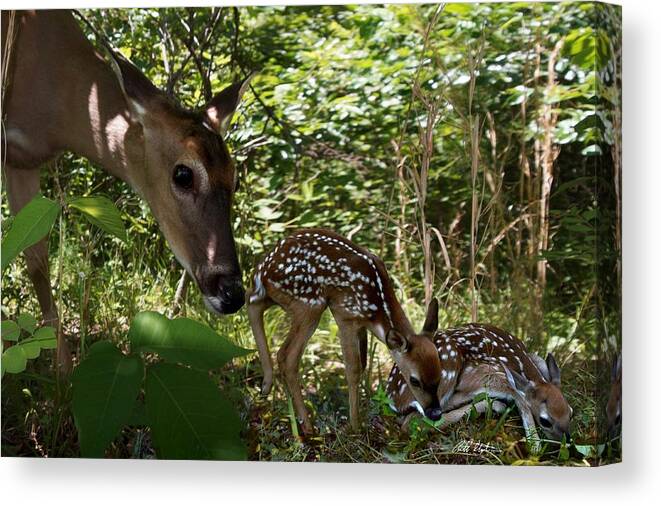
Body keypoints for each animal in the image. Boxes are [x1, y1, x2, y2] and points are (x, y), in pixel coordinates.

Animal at [1, 9, 253, 370]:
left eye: (234, 177)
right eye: (183, 174)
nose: (232, 293)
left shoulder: (23, 162)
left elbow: (35, 259)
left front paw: (63, 373)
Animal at [245, 229, 440, 434]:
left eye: (440, 375)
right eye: (414, 380)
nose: (435, 413)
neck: (376, 308)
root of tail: (263, 270)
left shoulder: (361, 326)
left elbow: (364, 363)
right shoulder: (346, 316)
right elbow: (353, 369)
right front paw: (355, 426)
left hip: (281, 297)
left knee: (251, 299)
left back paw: (268, 387)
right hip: (309, 303)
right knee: (286, 356)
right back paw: (307, 426)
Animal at [386, 322, 572, 444]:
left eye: (570, 412)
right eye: (545, 421)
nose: (567, 442)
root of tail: (391, 395)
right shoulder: (481, 375)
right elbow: (520, 398)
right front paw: (534, 445)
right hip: (447, 367)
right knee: (411, 422)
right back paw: (495, 405)